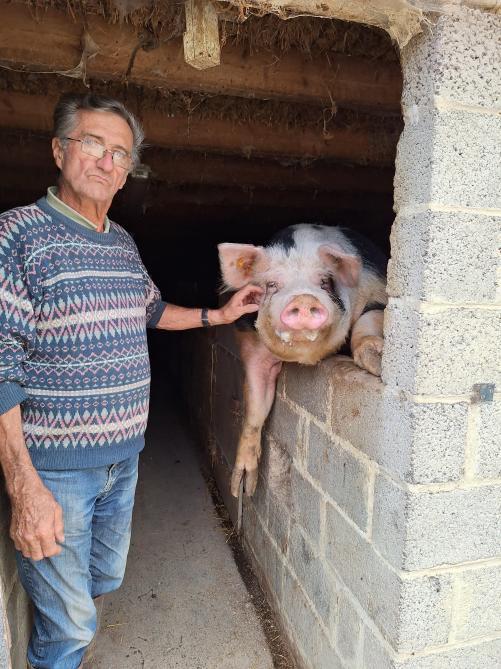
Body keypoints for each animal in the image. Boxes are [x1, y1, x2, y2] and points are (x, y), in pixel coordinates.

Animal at [218, 224, 386, 496]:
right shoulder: (252, 347)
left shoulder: (378, 293)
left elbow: (369, 318)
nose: (304, 298)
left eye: (324, 282)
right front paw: (243, 487)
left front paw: (378, 360)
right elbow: (254, 409)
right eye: (272, 284)